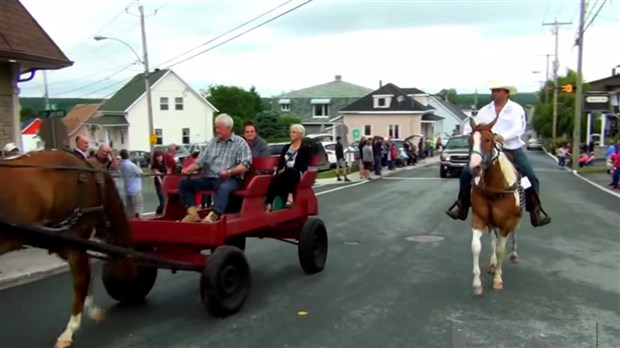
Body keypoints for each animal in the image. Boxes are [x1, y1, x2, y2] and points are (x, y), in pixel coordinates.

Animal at [468, 117, 520, 296]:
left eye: (488, 140)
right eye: (470, 141)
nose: (475, 167)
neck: (494, 186)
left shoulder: (505, 223)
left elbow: (500, 249)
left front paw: (498, 279)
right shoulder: (479, 219)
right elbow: (476, 247)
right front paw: (477, 284)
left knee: (512, 234)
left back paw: (513, 255)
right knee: (492, 239)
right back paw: (492, 264)